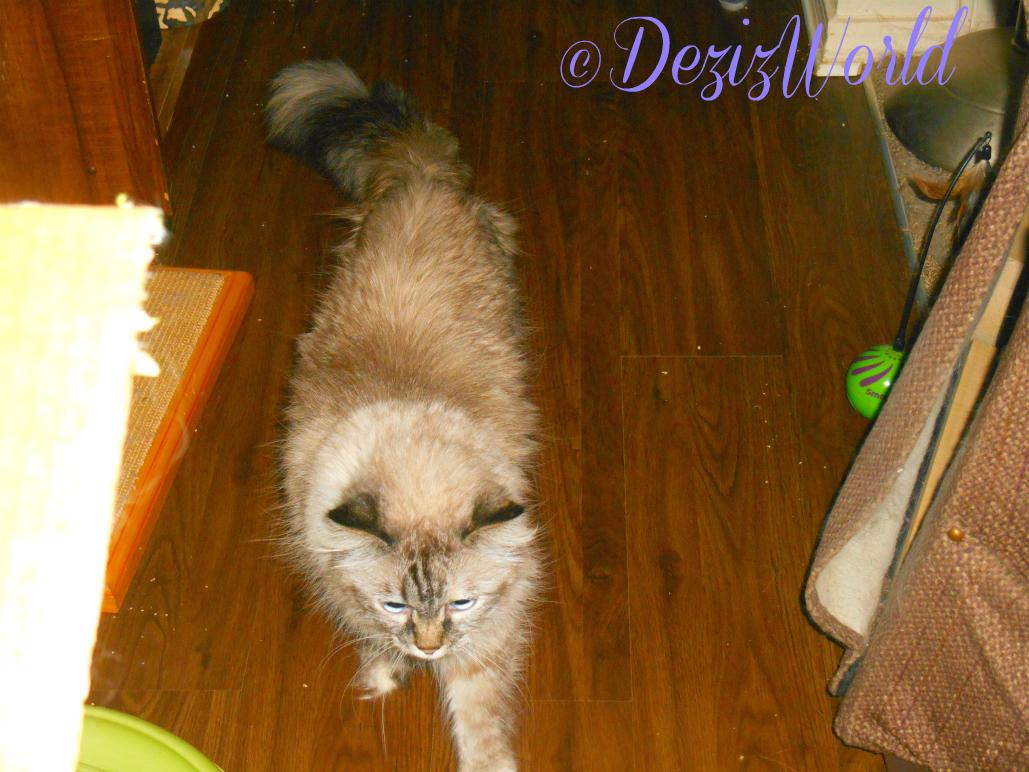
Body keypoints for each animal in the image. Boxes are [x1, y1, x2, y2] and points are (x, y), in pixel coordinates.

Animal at [265, 60, 544, 772]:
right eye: (395, 603)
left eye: (460, 602)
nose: (428, 647)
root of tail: (420, 177)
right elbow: (369, 635)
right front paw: (385, 672)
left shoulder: (488, 637)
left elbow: (479, 720)